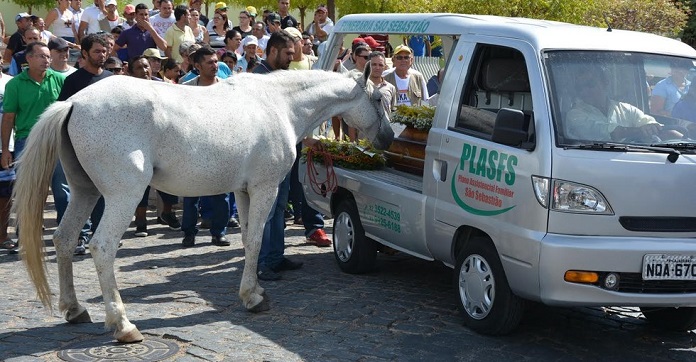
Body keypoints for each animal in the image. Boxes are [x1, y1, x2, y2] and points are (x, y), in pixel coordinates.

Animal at [13, 69, 394, 344]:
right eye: (377, 97)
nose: (389, 137)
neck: (278, 105)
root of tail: (73, 103)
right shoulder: (265, 188)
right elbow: (257, 240)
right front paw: (253, 298)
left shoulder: (242, 191)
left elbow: (247, 240)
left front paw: (254, 290)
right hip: (123, 197)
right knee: (102, 247)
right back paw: (123, 325)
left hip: (84, 192)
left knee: (64, 240)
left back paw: (74, 309)